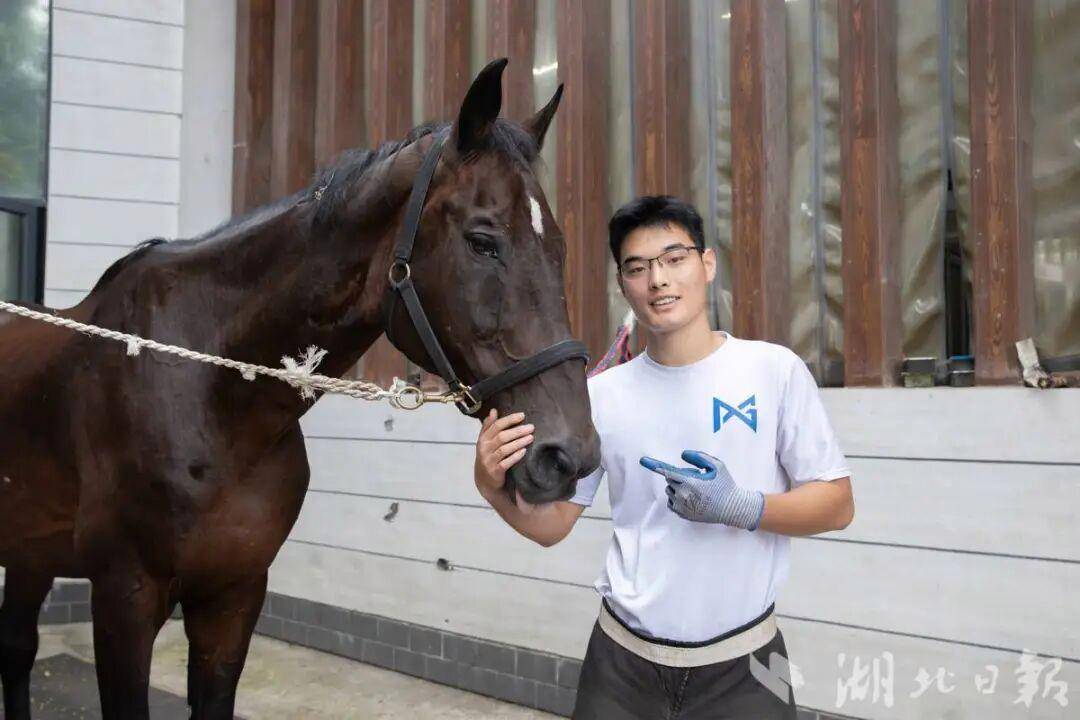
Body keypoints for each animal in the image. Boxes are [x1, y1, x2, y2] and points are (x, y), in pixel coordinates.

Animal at [0, 59, 601, 719]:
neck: (210, 395)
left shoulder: (233, 597)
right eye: (482, 240)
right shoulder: (123, 599)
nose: (569, 456)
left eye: (560, 248)